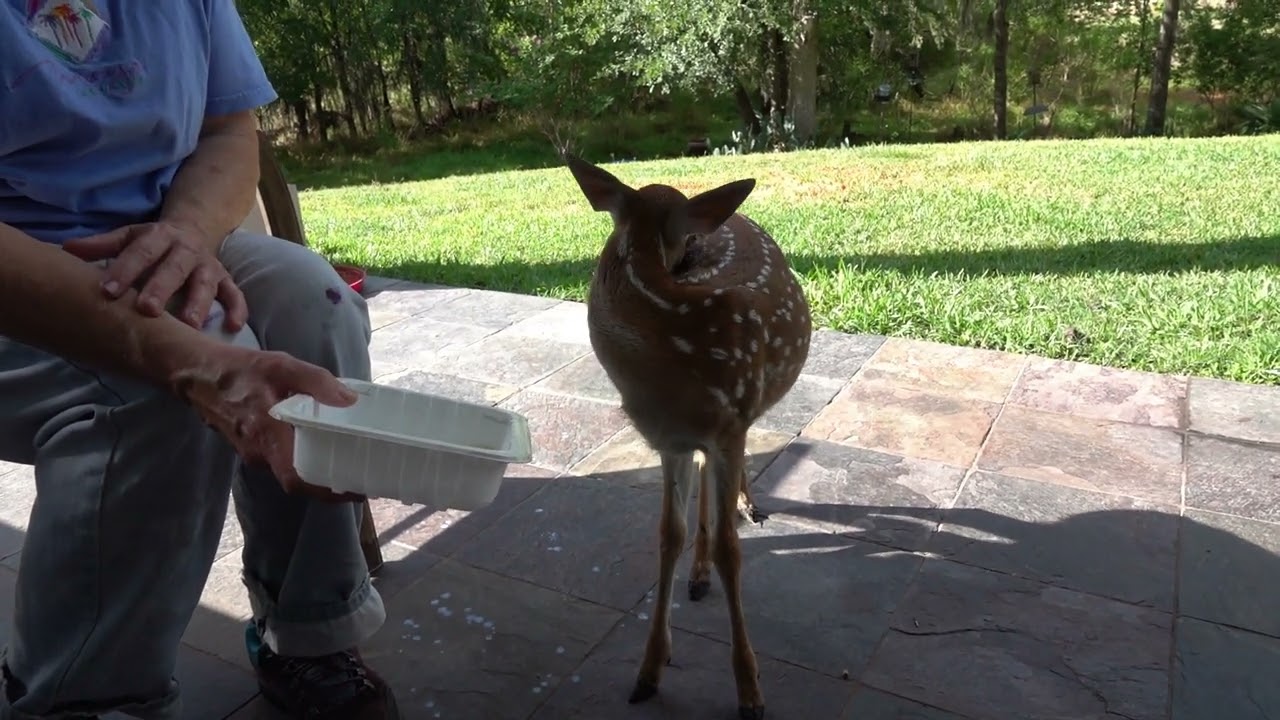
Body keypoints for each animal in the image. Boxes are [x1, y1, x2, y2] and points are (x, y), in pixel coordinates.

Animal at [565, 154, 812, 719]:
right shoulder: (666, 438)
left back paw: (745, 507)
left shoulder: (729, 420)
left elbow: (730, 550)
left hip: (743, 413)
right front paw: (649, 671)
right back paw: (698, 575)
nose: (696, 252)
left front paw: (750, 691)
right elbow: (667, 535)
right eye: (688, 237)